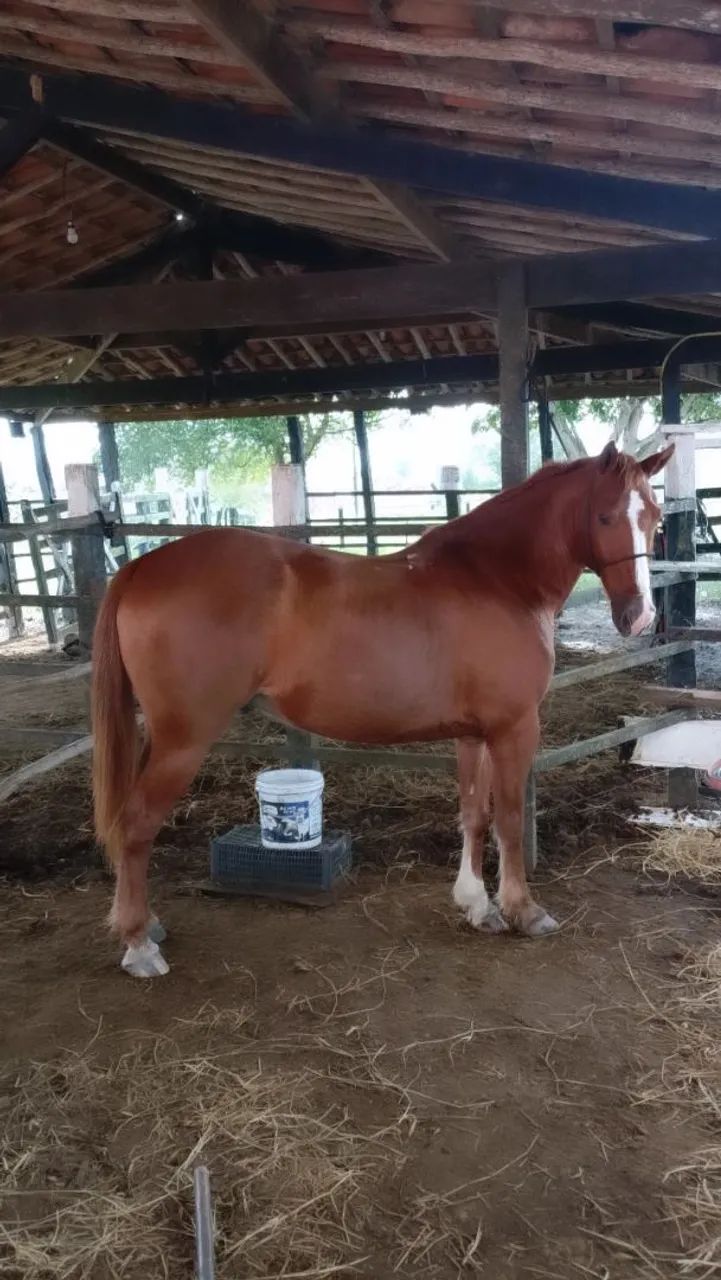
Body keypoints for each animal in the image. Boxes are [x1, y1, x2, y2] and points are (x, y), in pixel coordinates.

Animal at [91, 440, 672, 977]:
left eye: (655, 517)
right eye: (604, 516)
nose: (640, 617)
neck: (497, 579)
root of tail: (141, 567)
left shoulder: (473, 733)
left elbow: (474, 814)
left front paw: (476, 905)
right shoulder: (514, 728)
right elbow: (509, 819)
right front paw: (523, 911)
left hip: (160, 736)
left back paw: (146, 927)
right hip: (185, 739)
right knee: (136, 824)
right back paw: (139, 945)